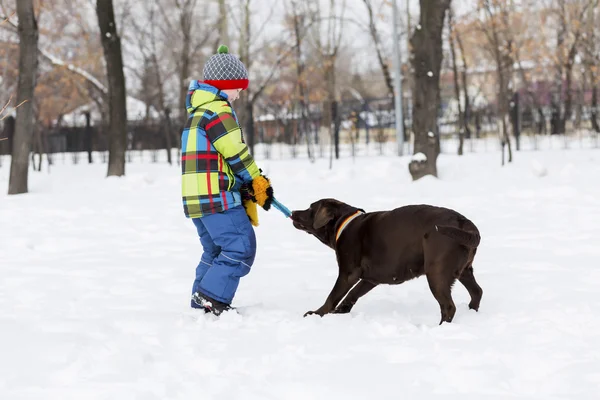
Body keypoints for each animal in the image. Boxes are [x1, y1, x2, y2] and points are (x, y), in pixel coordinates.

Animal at [290, 198, 482, 324]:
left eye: (310, 208)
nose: (293, 212)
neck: (344, 224)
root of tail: (466, 224)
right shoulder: (371, 278)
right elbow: (352, 294)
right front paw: (341, 311)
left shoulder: (347, 273)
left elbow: (333, 296)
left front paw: (316, 313)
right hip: (464, 271)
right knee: (477, 292)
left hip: (436, 273)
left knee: (448, 306)